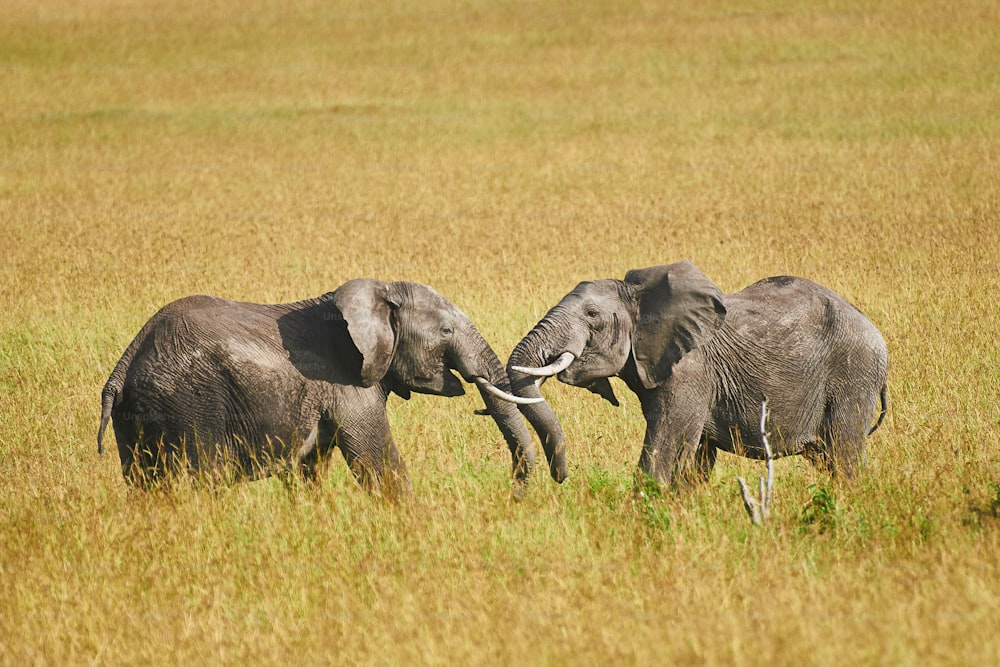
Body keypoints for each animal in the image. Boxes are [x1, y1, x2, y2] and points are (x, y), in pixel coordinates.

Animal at [97, 278, 544, 496]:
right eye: (446, 331)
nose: (513, 496)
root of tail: (126, 361)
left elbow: (308, 471)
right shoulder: (348, 384)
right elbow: (379, 465)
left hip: (139, 413)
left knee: (143, 483)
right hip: (190, 401)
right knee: (203, 477)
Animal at [508, 260, 892, 490]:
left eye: (591, 315)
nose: (561, 478)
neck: (643, 300)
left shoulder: (689, 373)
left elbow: (663, 452)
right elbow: (694, 464)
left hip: (853, 374)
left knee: (844, 455)